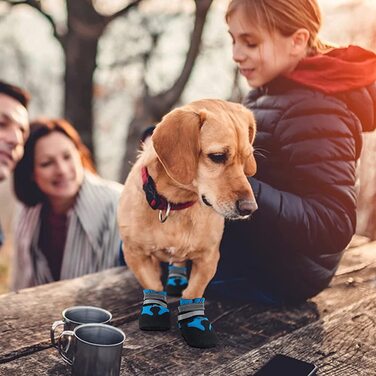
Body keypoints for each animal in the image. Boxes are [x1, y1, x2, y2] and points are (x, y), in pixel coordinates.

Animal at [118, 98, 258, 348]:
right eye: (217, 156)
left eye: (246, 158)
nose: (250, 208)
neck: (175, 204)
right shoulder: (134, 253)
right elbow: (152, 284)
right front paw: (155, 311)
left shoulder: (209, 258)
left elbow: (194, 291)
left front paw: (194, 323)